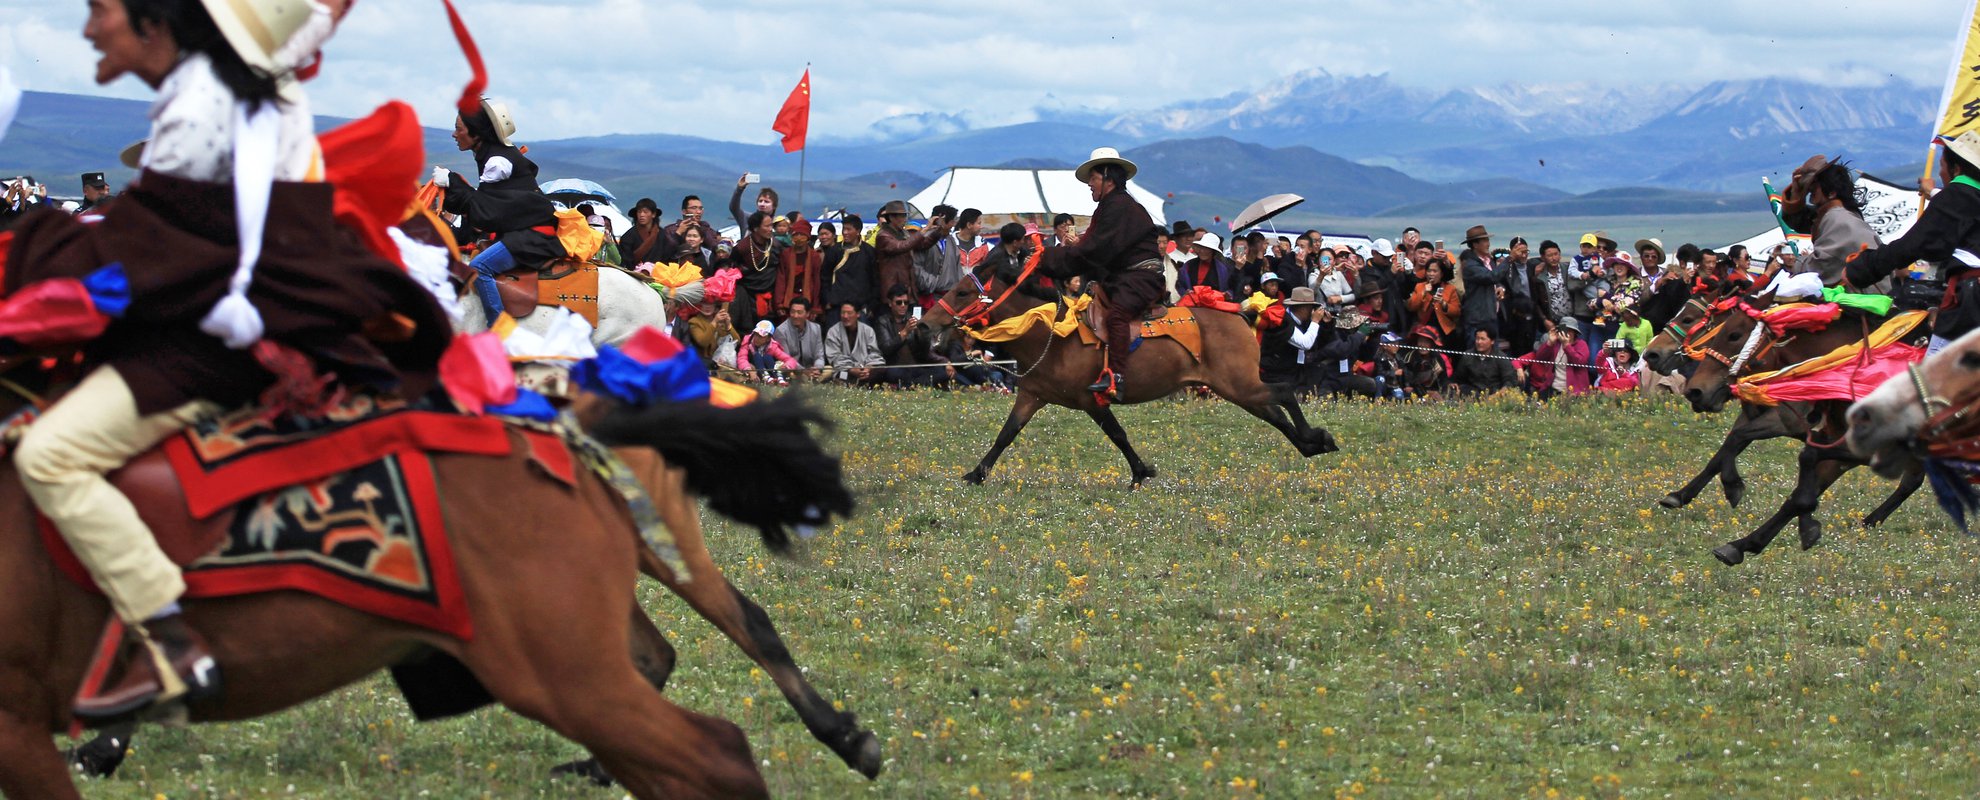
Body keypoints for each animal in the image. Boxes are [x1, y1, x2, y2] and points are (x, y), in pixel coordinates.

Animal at [918, 263, 1338, 487]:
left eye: (960, 293)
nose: (923, 325)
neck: (1051, 334)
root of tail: (1241, 313)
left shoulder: (1091, 398)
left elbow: (1117, 434)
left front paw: (1140, 472)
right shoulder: (1031, 396)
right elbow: (1006, 435)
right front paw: (975, 474)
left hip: (1241, 385)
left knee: (1283, 393)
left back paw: (1318, 438)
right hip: (1236, 387)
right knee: (1275, 412)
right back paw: (1309, 445)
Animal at [1679, 297, 1924, 566]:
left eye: (1734, 335)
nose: (1695, 391)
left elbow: (1800, 469)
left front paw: (1733, 489)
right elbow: (1733, 448)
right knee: (1911, 481)